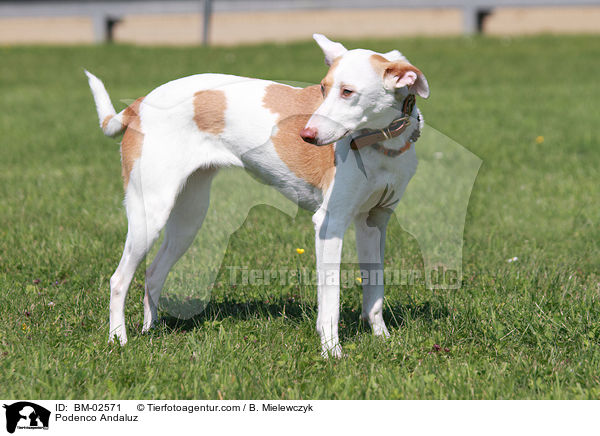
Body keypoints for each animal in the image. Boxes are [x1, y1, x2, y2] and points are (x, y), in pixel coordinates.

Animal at [86, 35, 428, 358]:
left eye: (347, 92)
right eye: (322, 87)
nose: (306, 136)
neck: (381, 142)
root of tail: (140, 103)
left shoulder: (373, 222)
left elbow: (375, 292)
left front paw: (382, 339)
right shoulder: (330, 224)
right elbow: (330, 300)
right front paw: (332, 352)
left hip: (187, 220)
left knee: (153, 274)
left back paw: (150, 330)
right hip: (150, 214)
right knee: (119, 280)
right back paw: (118, 339)